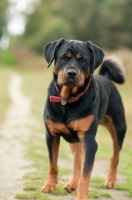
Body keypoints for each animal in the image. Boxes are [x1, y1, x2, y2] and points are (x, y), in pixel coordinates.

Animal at [41, 38, 127, 199]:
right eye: (64, 58)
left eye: (83, 61)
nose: (71, 73)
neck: (68, 100)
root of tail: (107, 78)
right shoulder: (51, 135)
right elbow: (53, 164)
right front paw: (49, 185)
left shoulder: (89, 140)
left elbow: (86, 174)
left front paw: (81, 196)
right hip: (75, 140)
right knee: (77, 161)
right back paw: (72, 183)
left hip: (119, 129)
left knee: (115, 156)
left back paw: (110, 180)